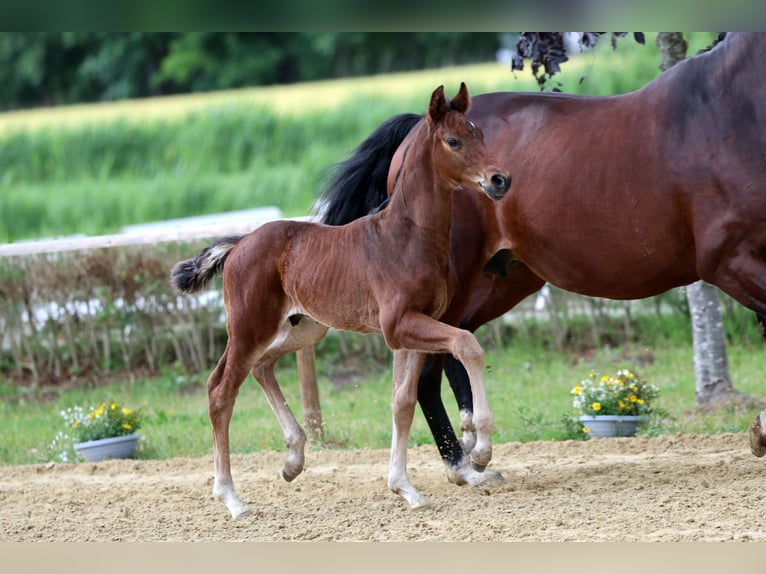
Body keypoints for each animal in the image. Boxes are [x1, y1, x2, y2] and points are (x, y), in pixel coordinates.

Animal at [170, 83, 511, 518]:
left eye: (479, 134)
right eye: (453, 140)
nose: (500, 179)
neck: (406, 237)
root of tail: (240, 242)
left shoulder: (412, 329)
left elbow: (402, 402)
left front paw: (406, 489)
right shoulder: (399, 325)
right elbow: (468, 345)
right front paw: (481, 449)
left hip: (305, 328)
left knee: (262, 367)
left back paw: (293, 460)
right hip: (249, 328)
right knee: (220, 391)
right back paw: (232, 498)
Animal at [320, 32, 766, 480]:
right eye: (456, 142)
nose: (499, 180)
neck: (730, 112)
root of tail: (415, 132)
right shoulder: (729, 262)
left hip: (502, 279)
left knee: (452, 347)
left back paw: (472, 445)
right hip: (459, 280)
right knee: (430, 367)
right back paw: (462, 464)